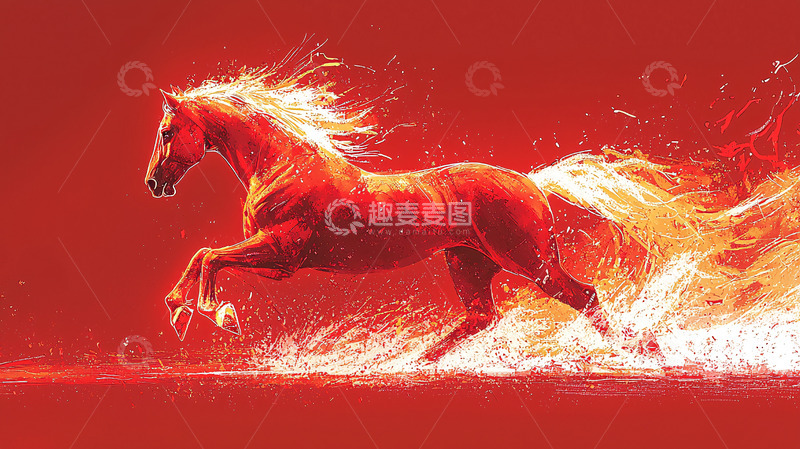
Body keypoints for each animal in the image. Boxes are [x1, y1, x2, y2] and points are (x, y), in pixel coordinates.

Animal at [144, 59, 625, 362]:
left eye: (167, 131)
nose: (152, 183)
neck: (280, 163)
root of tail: (532, 182)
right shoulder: (277, 262)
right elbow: (202, 256)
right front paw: (179, 312)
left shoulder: (280, 250)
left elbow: (210, 256)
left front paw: (219, 315)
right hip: (468, 263)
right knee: (481, 317)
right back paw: (410, 362)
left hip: (530, 261)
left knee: (584, 296)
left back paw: (634, 353)